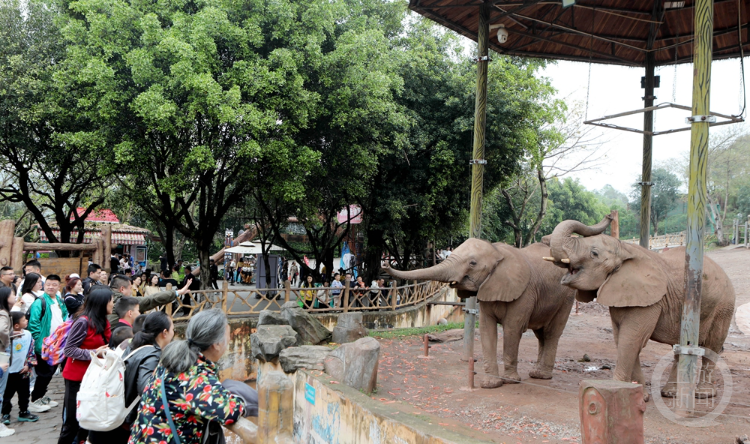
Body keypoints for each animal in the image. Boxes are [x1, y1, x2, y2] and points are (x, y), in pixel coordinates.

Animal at [384, 239, 580, 388]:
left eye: (472, 263)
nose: (385, 265)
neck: (497, 252)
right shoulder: (488, 287)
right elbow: (487, 330)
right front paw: (490, 384)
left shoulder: (524, 292)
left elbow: (512, 330)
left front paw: (510, 381)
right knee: (541, 335)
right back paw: (536, 374)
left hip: (567, 296)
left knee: (551, 333)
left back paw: (541, 376)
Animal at [548, 213, 736, 400]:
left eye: (594, 253)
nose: (609, 215)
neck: (625, 249)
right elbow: (623, 339)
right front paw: (640, 395)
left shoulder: (650, 300)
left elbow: (631, 339)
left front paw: (616, 391)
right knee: (680, 346)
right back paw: (670, 393)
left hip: (723, 306)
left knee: (712, 346)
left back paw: (703, 395)